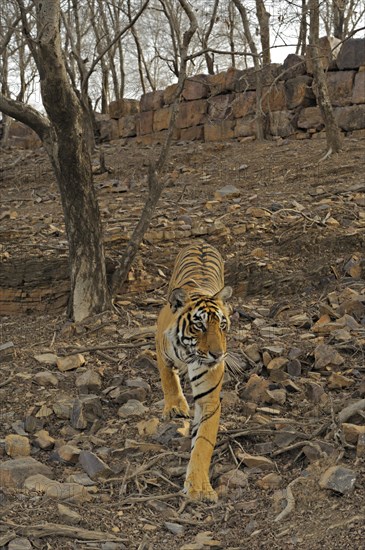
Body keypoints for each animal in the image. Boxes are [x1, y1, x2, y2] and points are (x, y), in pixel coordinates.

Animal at [155, 242, 232, 504]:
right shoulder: (161, 350)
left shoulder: (209, 400)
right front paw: (175, 407)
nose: (218, 355)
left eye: (222, 325)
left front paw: (199, 487)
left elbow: (203, 443)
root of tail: (201, 242)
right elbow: (168, 379)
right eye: (199, 325)